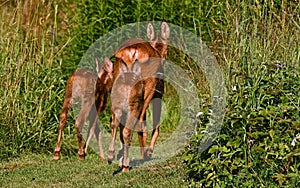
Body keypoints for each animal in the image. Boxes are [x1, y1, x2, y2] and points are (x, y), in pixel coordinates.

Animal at [108, 19, 170, 162]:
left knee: (115, 119)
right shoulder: (158, 95)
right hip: (147, 88)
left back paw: (113, 154)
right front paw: (149, 152)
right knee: (139, 121)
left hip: (119, 86)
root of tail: (132, 52)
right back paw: (142, 155)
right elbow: (156, 126)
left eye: (165, 49)